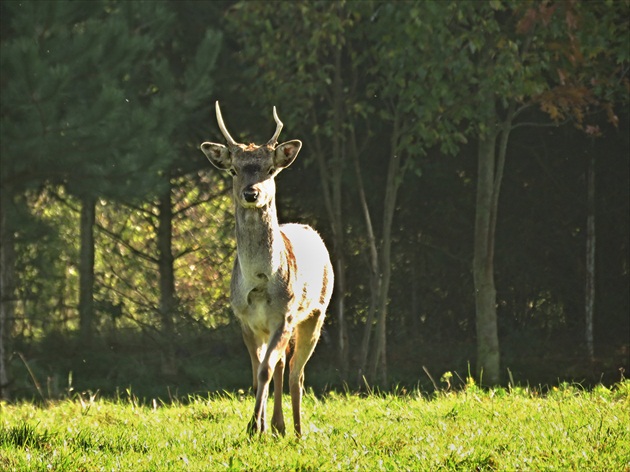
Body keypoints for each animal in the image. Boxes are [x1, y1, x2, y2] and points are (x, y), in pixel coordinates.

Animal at [201, 101, 336, 436]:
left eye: (270, 169)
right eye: (234, 169)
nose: (252, 193)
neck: (260, 286)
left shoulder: (284, 316)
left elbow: (264, 371)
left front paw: (254, 426)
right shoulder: (244, 320)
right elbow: (256, 374)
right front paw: (259, 425)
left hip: (316, 312)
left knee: (296, 373)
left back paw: (298, 430)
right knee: (280, 366)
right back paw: (278, 425)